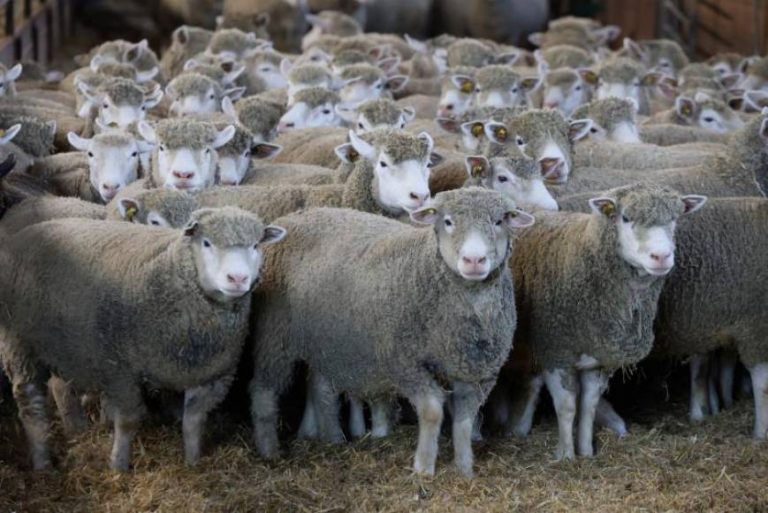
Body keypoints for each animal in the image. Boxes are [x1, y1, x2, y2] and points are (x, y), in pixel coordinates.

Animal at [0, 207, 286, 471]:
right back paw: (43, 463)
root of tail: (25, 233)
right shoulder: (119, 371)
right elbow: (127, 422)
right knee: (31, 403)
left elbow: (193, 421)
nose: (237, 278)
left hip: (65, 345)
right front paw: (118, 466)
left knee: (60, 386)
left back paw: (76, 429)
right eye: (206, 243)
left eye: (256, 245)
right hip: (20, 345)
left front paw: (192, 462)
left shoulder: (212, 376)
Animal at [249, 187, 534, 477]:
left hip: (328, 341)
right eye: (448, 221)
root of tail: (293, 217)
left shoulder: (477, 373)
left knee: (321, 389)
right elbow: (432, 410)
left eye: (499, 222)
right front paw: (423, 467)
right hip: (275, 334)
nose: (473, 260)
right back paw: (269, 450)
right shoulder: (403, 361)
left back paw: (334, 439)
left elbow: (464, 421)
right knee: (264, 389)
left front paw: (464, 469)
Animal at [509, 183, 705, 459]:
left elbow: (588, 405)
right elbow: (567, 406)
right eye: (626, 218)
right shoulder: (555, 351)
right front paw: (567, 456)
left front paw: (586, 451)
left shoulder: (599, 358)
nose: (661, 256)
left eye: (674, 218)